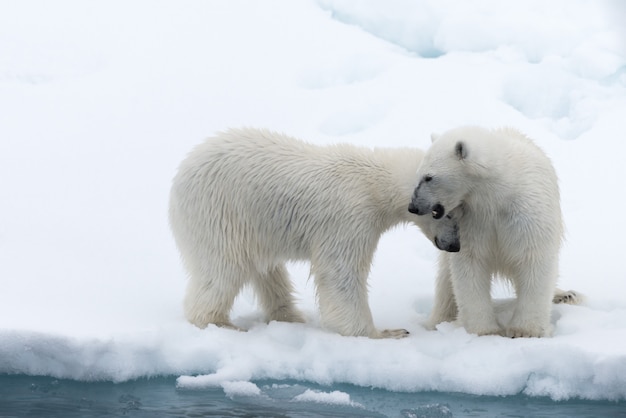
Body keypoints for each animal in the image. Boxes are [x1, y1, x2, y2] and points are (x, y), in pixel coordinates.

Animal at [167, 128, 458, 340]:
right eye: (443, 213)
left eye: (460, 212)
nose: (453, 246)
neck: (373, 184)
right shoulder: (350, 217)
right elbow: (340, 273)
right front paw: (385, 333)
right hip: (219, 214)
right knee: (224, 269)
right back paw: (220, 323)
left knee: (266, 270)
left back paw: (290, 316)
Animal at [408, 125, 576, 338]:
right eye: (418, 174)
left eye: (429, 177)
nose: (413, 206)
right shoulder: (473, 221)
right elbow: (470, 262)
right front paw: (484, 331)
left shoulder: (526, 213)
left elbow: (533, 259)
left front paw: (525, 331)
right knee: (446, 279)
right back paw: (439, 320)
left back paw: (566, 294)